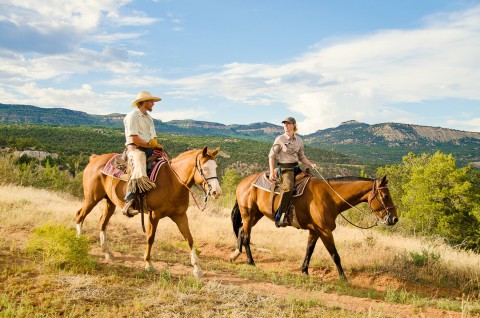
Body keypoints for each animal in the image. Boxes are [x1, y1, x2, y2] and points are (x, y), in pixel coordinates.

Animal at [76, 147, 222, 276]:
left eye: (216, 167)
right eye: (204, 168)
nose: (217, 192)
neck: (172, 182)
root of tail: (95, 159)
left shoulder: (180, 216)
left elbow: (189, 239)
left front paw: (197, 269)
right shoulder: (154, 215)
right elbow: (150, 238)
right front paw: (148, 264)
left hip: (110, 202)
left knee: (102, 222)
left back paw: (106, 252)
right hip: (92, 198)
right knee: (80, 216)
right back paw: (79, 242)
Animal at [229, 174, 398, 280]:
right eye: (385, 196)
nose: (394, 219)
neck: (330, 197)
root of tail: (243, 182)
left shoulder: (315, 231)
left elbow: (309, 250)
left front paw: (304, 271)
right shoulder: (325, 232)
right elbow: (335, 255)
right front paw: (343, 278)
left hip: (256, 215)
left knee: (241, 231)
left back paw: (236, 255)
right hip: (248, 214)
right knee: (246, 236)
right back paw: (251, 261)